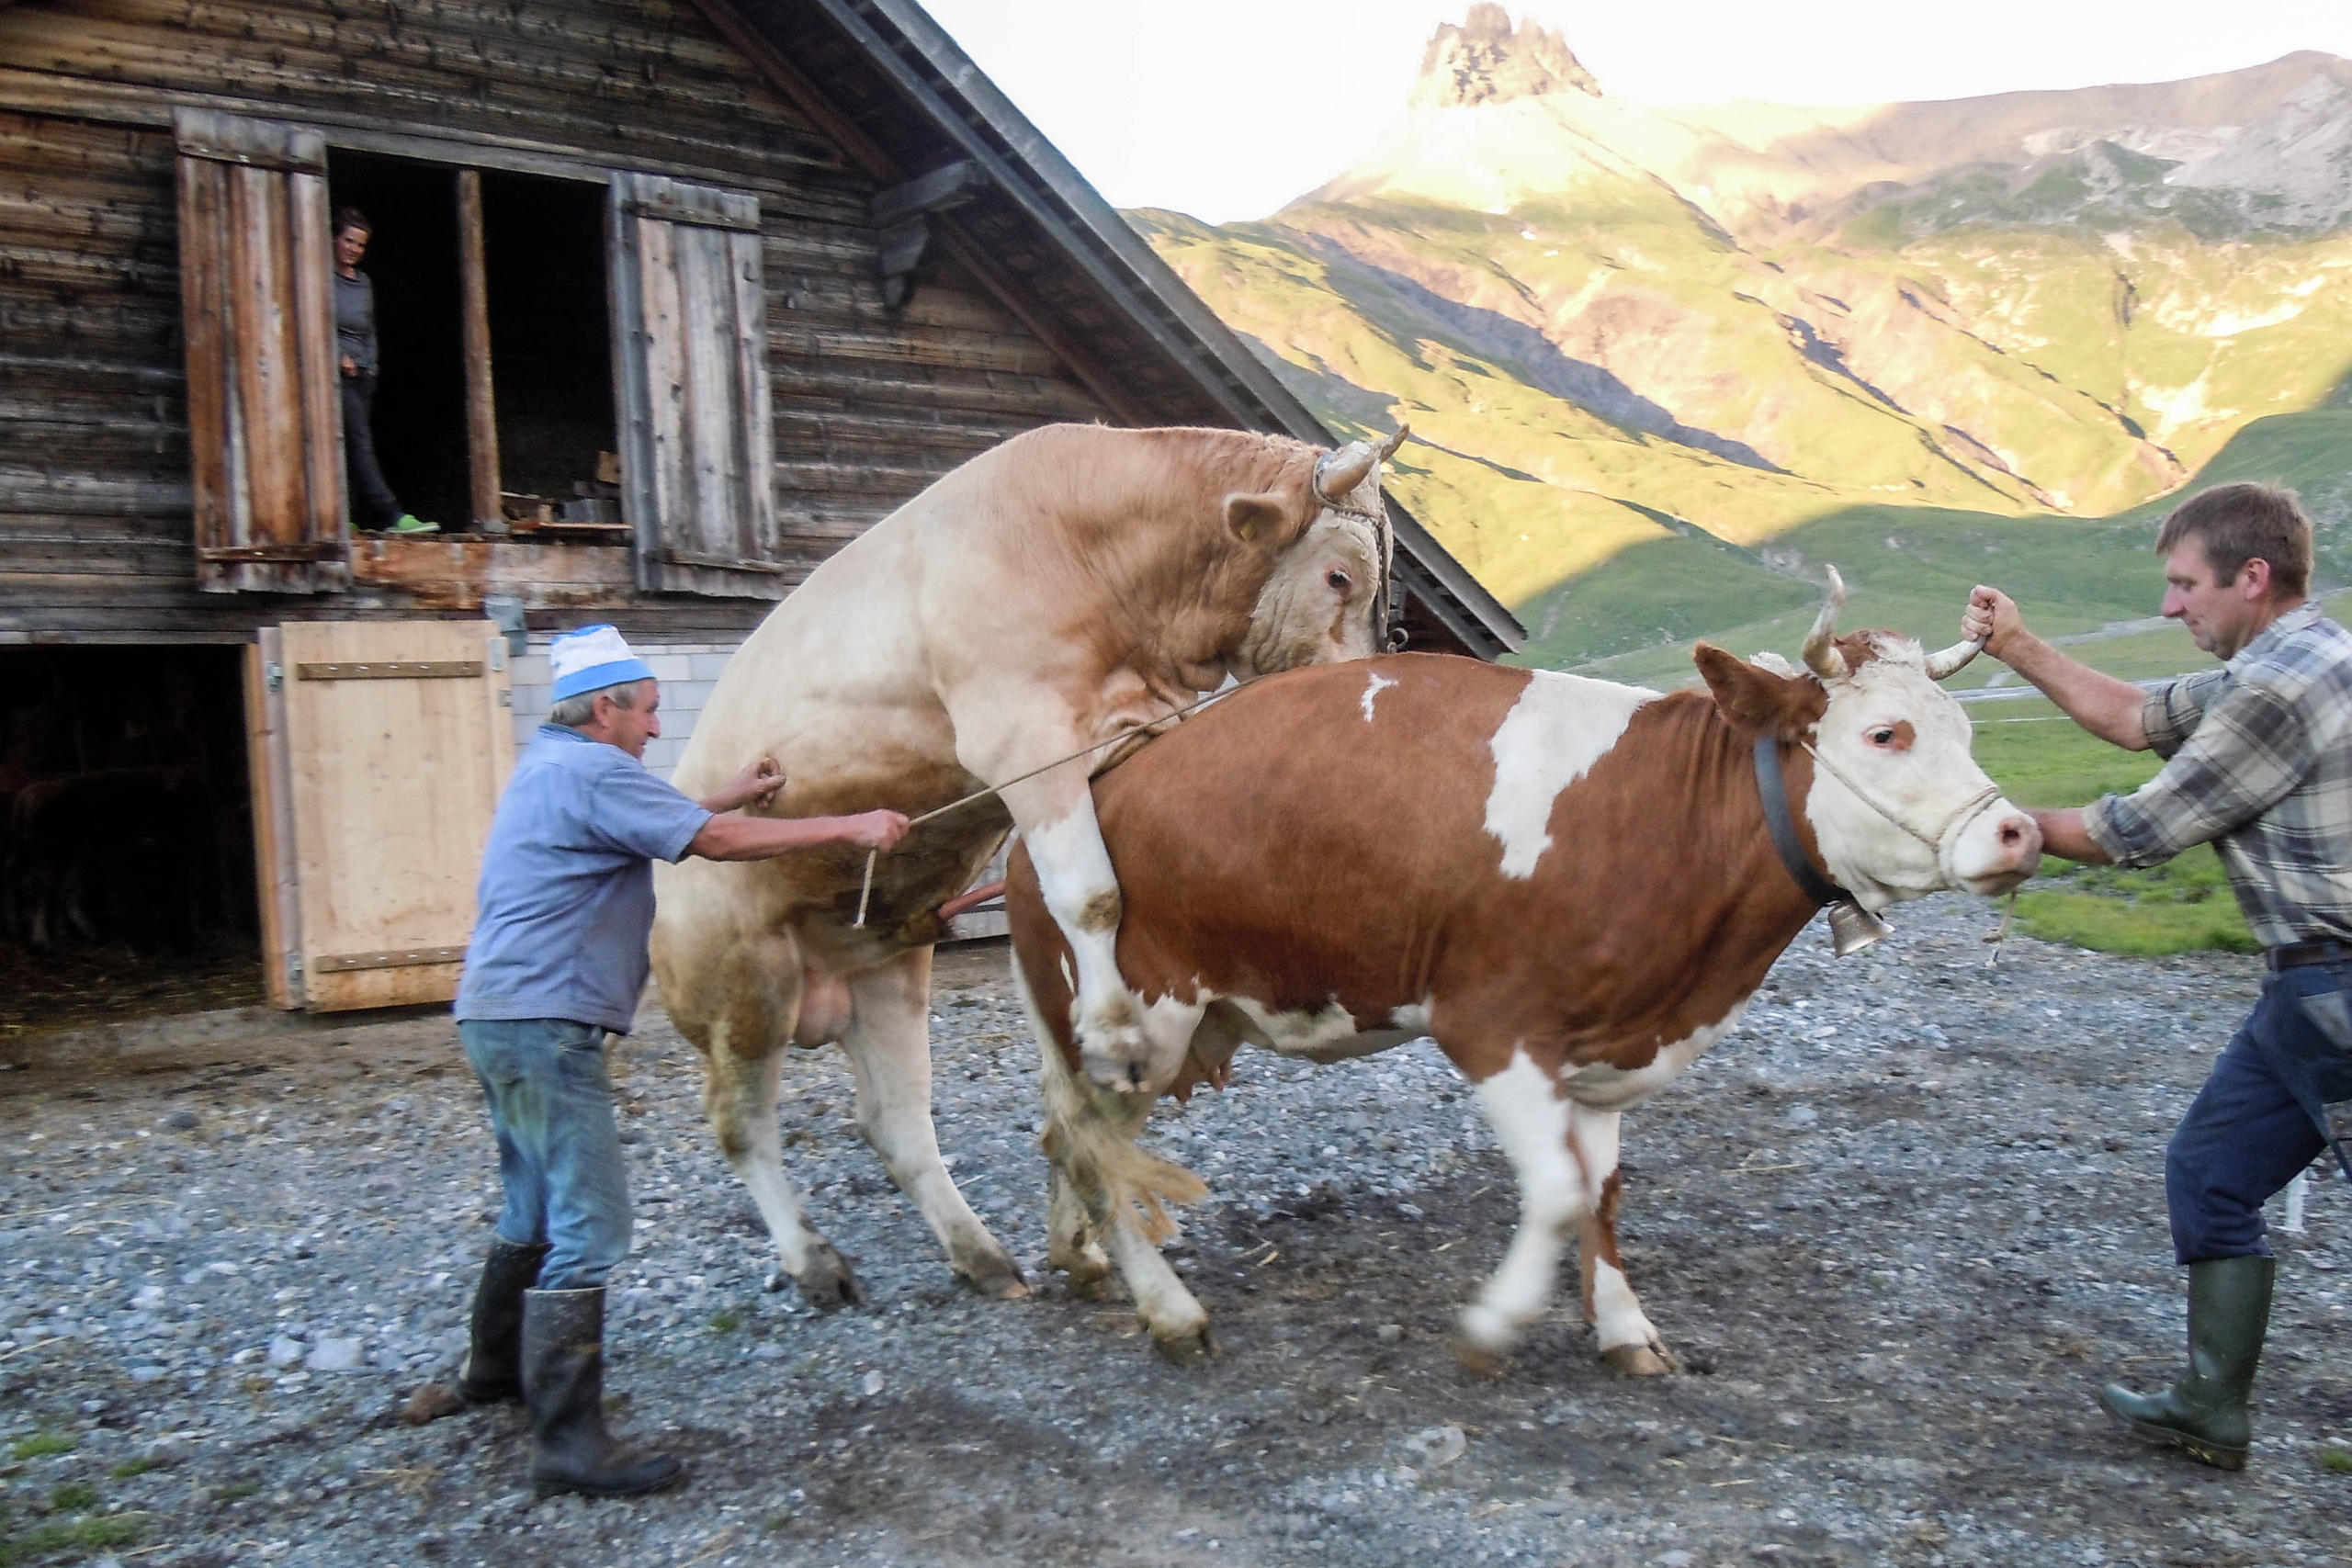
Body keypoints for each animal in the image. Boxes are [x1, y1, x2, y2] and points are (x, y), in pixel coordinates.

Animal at [653, 423, 1401, 1306]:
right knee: (740, 1123)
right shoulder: (1020, 737)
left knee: (894, 1119)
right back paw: (813, 1260)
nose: (1351, 697)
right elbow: (1090, 896)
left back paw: (981, 1254)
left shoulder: (1122, 732)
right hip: (742, 983)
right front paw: (1113, 1035)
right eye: (1339, 575)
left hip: (885, 964)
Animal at [1011, 581, 2041, 1372]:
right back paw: (1170, 1312)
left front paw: (1625, 1329)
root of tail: (1056, 812)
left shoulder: (1606, 1041)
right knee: (1092, 1153)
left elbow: (1603, 1192)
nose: (2018, 831)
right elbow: (1554, 1193)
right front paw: (1493, 1323)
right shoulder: (1494, 1027)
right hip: (1134, 1029)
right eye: (1884, 734)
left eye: (1963, 729)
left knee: (1066, 1140)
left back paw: (1083, 1261)